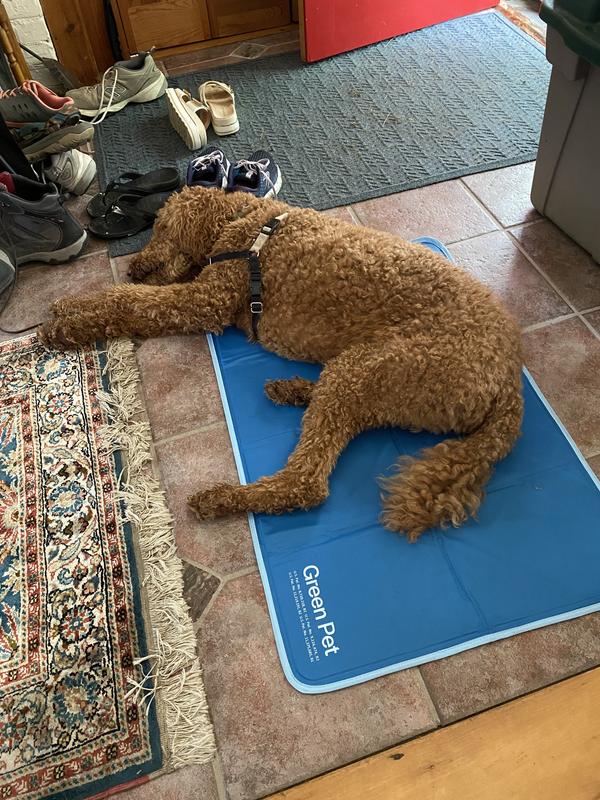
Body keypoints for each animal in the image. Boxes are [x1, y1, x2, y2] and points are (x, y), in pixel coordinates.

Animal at [39, 188, 524, 540]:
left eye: (159, 230)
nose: (134, 266)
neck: (245, 222)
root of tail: (510, 380)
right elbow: (135, 300)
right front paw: (74, 310)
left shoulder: (203, 301)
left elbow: (130, 302)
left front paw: (67, 320)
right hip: (370, 373)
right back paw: (293, 390)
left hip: (380, 367)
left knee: (306, 483)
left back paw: (224, 498)